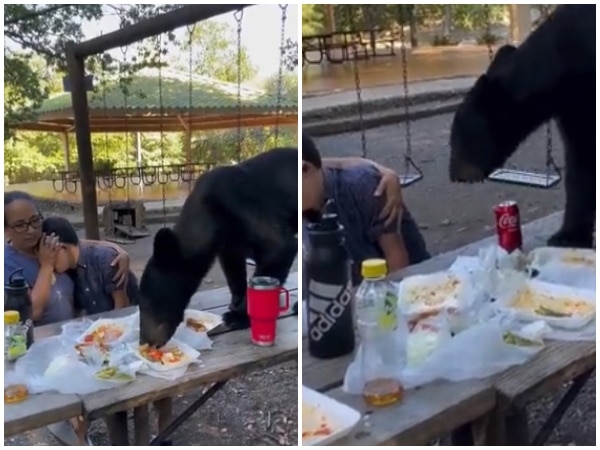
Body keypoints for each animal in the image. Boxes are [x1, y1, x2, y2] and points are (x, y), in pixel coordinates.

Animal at [138, 149, 298, 348]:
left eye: (146, 303)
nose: (144, 341)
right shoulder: (230, 241)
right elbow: (233, 268)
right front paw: (235, 303)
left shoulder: (242, 204)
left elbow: (279, 247)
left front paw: (238, 317)